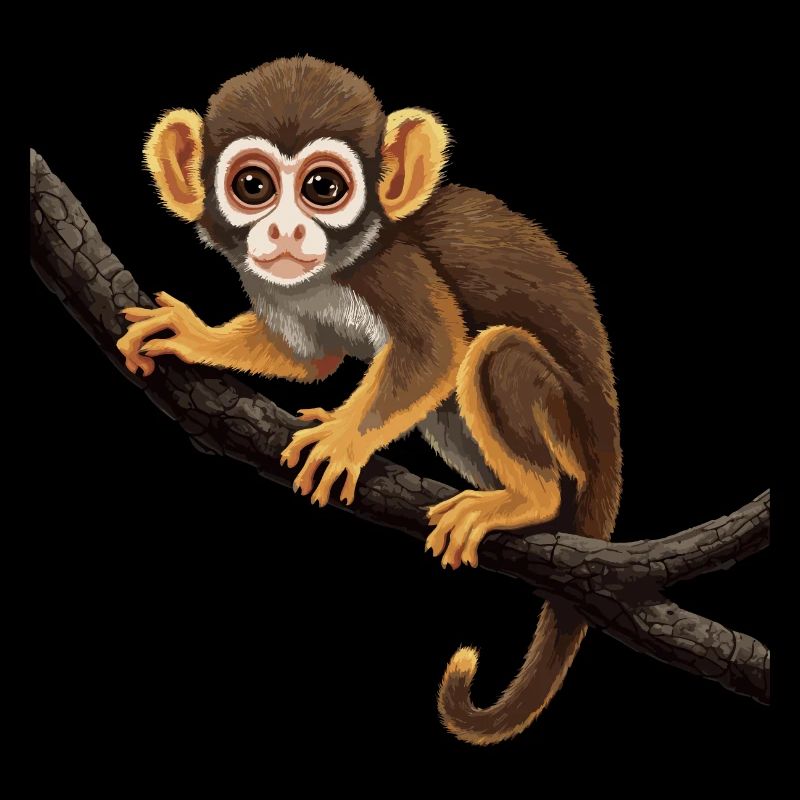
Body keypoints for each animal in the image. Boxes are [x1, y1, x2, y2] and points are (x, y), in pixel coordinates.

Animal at [117, 56, 622, 746]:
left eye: (323, 188)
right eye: (253, 185)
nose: (284, 229)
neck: (338, 265)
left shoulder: (394, 267)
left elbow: (437, 347)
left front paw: (342, 439)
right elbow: (309, 358)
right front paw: (193, 337)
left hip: (572, 433)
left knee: (494, 354)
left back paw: (529, 499)